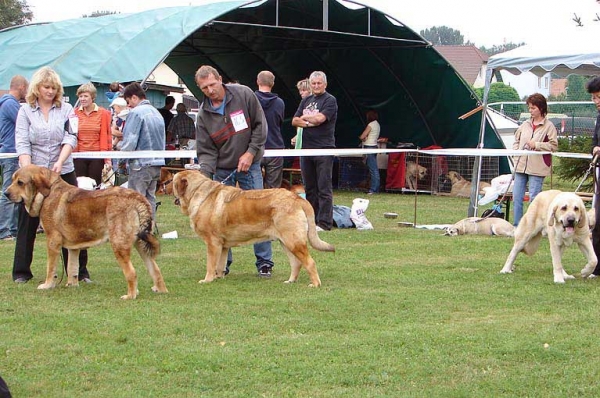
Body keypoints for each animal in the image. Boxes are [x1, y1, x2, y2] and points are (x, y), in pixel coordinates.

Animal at [5, 164, 169, 298]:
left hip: (119, 244)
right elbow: (72, 267)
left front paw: (47, 285)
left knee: (132, 273)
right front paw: (71, 285)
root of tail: (137, 198)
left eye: (20, 182)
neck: (47, 192)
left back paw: (130, 295)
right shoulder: (73, 246)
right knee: (156, 269)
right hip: (141, 242)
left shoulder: (52, 241)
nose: (5, 193)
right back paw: (160, 290)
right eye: (13, 180)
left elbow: (51, 268)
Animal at [171, 171, 336, 286]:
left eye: (172, 182)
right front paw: (219, 277)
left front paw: (207, 280)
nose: (166, 183)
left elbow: (211, 265)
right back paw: (290, 281)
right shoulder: (223, 246)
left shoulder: (212, 243)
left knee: (310, 262)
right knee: (296, 263)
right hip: (286, 242)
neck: (198, 193)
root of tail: (298, 198)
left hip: (293, 241)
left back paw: (315, 284)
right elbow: (220, 264)